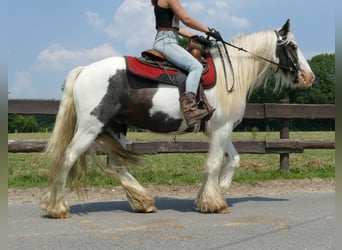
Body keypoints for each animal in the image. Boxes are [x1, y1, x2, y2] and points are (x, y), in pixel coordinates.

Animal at [40, 19, 316, 218]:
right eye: (292, 46)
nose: (308, 76)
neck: (232, 73)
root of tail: (84, 70)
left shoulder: (219, 129)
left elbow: (234, 160)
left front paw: (215, 193)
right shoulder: (221, 129)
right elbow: (214, 164)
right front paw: (213, 202)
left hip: (116, 128)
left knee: (118, 164)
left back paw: (143, 202)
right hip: (90, 127)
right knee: (68, 157)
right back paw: (58, 208)